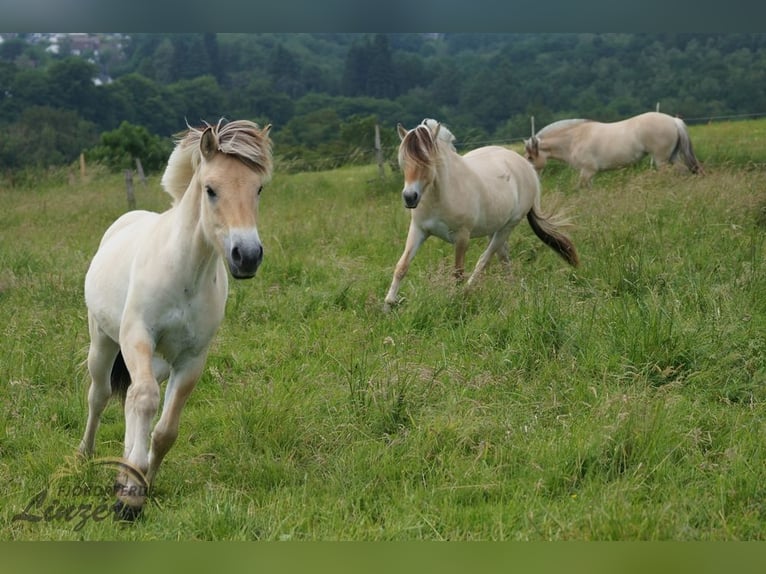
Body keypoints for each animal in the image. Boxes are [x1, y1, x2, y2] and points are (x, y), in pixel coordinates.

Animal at [78, 119, 273, 520]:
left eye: (258, 188)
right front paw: (128, 499)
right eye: (210, 189)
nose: (247, 256)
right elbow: (144, 400)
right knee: (100, 396)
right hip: (103, 343)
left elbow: (165, 428)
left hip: (158, 362)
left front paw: (139, 483)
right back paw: (84, 457)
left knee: (131, 402)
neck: (185, 273)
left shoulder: (192, 358)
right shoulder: (137, 337)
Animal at [384, 119, 579, 310]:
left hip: (507, 226)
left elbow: (458, 272)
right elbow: (402, 266)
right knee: (503, 256)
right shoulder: (419, 230)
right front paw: (388, 304)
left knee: (485, 259)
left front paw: (456, 300)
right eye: (402, 161)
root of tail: (526, 166)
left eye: (427, 161)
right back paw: (511, 288)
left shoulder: (462, 236)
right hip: (495, 228)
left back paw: (469, 290)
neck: (441, 195)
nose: (410, 197)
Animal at [524, 111, 703, 186]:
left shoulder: (587, 171)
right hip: (672, 157)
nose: (531, 177)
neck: (574, 138)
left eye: (530, 158)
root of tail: (673, 120)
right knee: (683, 171)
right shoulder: (589, 174)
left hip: (661, 160)